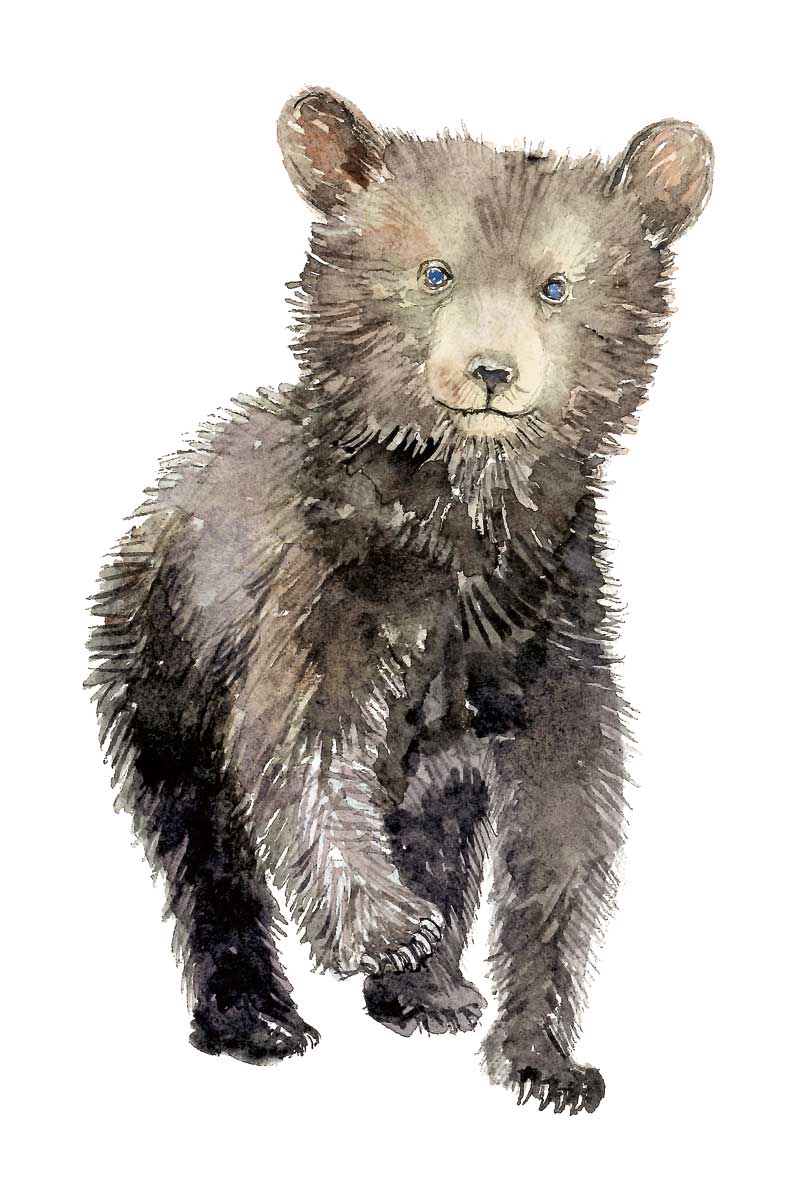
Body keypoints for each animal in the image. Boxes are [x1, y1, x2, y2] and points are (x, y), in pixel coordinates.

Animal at [87, 86, 713, 1113]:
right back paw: (261, 1019)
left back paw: (429, 994)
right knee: (203, 840)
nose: (492, 370)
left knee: (439, 828)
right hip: (160, 657)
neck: (463, 530)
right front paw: (388, 927)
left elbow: (566, 824)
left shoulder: (550, 634)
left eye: (555, 287)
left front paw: (547, 1059)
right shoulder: (329, 599)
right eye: (434, 272)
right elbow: (302, 752)